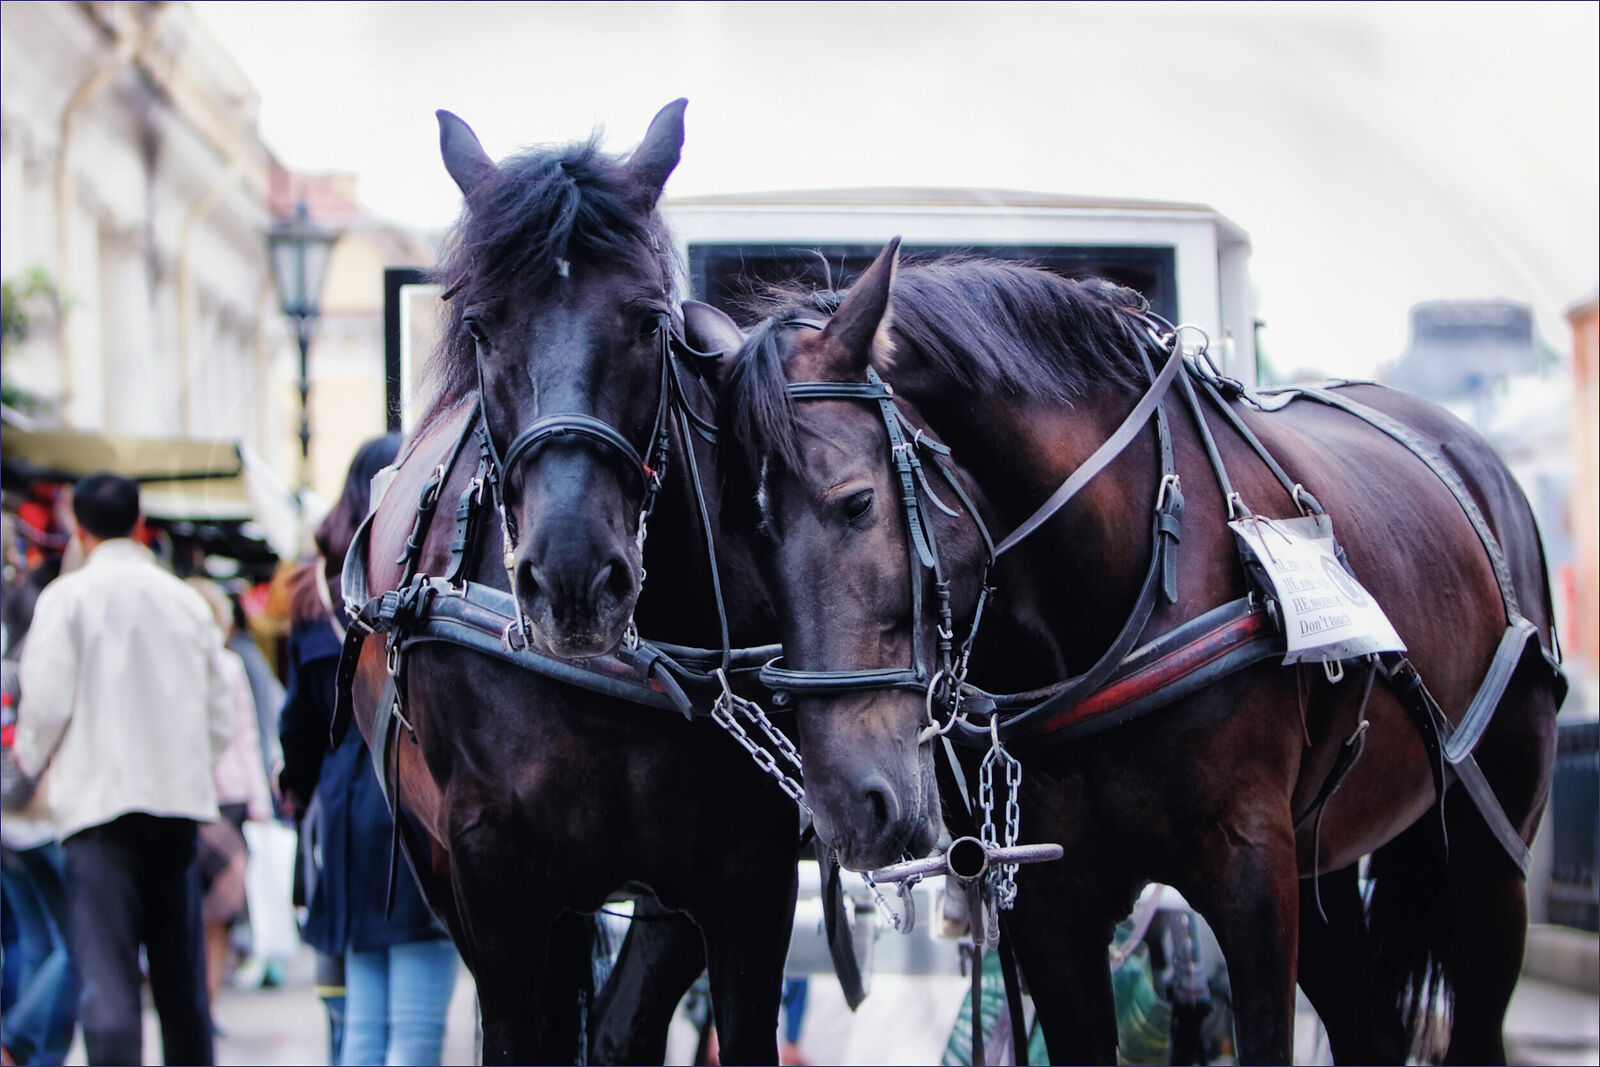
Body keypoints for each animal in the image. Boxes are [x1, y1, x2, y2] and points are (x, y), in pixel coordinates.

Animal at [700, 244, 1561, 1067]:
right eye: (745, 537)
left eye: (856, 503)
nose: (847, 808)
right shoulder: (1053, 903)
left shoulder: (1254, 873)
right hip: (1327, 857)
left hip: (1489, 852)